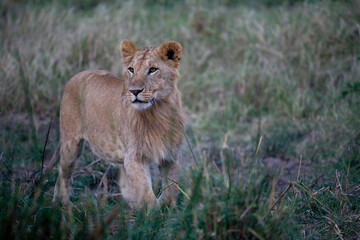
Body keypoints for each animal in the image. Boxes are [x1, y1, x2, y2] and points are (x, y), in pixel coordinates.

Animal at [53, 39, 186, 208]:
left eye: (153, 69)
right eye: (131, 69)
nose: (134, 91)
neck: (158, 111)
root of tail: (77, 75)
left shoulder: (170, 154)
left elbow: (172, 187)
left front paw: (166, 206)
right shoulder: (133, 157)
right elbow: (146, 193)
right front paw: (154, 211)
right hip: (70, 145)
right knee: (62, 174)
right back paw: (61, 204)